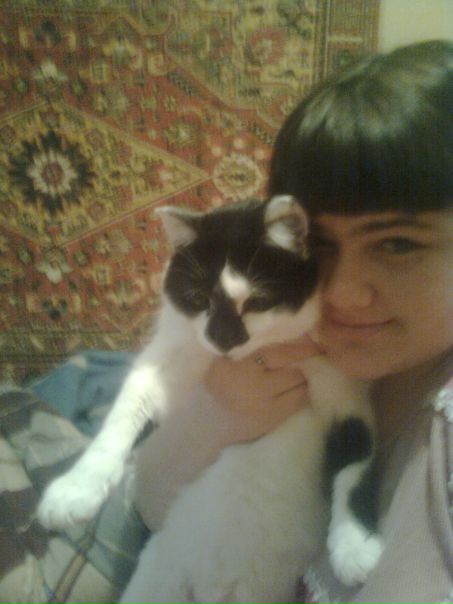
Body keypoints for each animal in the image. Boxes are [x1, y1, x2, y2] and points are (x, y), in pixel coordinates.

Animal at [37, 195, 383, 604]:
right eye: (198, 298)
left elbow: (357, 470)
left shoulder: (346, 396)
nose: (223, 340)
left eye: (258, 301)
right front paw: (77, 490)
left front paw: (353, 545)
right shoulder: (160, 366)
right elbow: (120, 420)